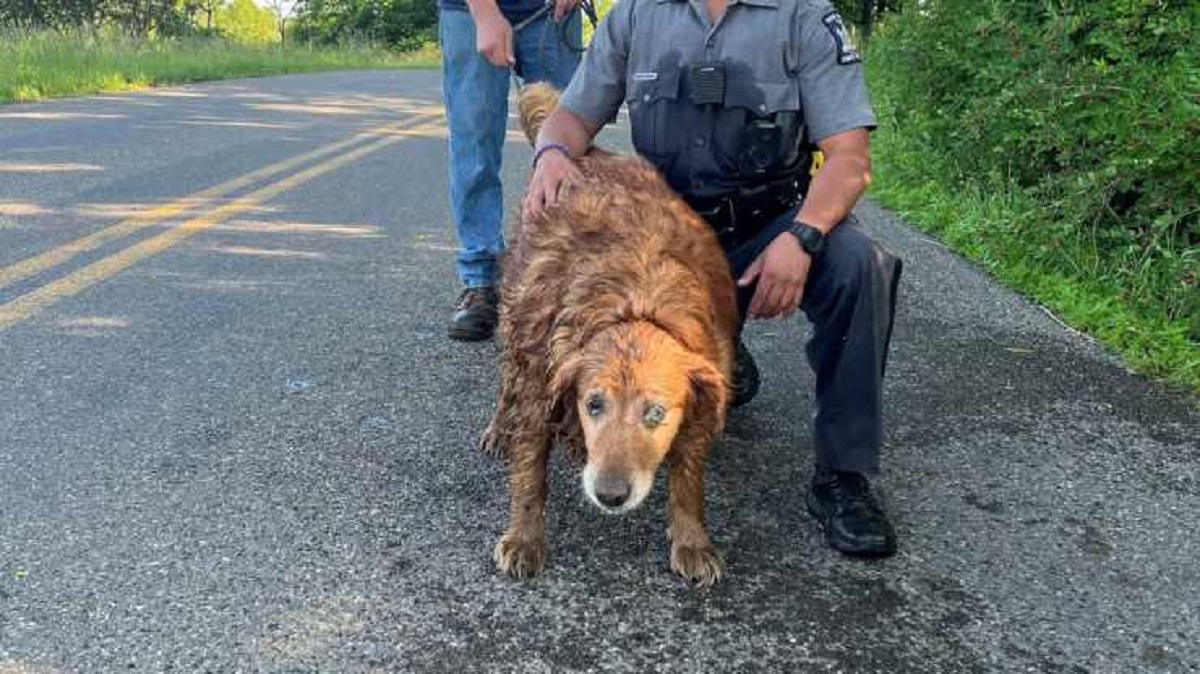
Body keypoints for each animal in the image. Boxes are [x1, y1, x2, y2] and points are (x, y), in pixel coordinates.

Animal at [482, 82, 734, 582]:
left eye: (656, 413)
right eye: (593, 404)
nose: (610, 494)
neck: (637, 298)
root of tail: (588, 152)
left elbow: (689, 478)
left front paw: (693, 540)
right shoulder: (540, 383)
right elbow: (529, 472)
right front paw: (524, 537)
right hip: (514, 321)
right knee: (507, 382)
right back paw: (499, 428)